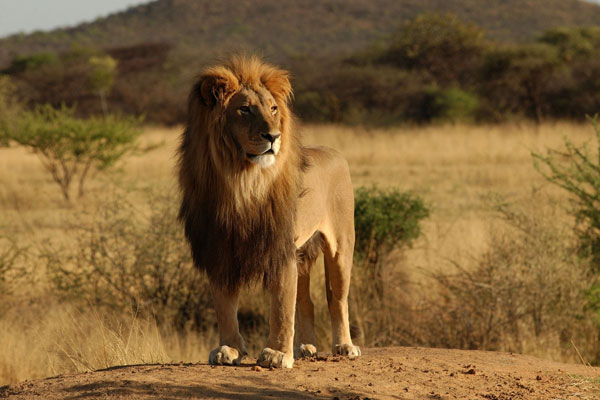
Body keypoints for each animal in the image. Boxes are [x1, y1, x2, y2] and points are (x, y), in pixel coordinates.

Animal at [176, 54, 358, 368]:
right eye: (245, 109)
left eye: (273, 109)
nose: (273, 136)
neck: (241, 182)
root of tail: (334, 152)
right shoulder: (219, 248)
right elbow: (225, 306)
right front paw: (229, 349)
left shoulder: (279, 247)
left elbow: (282, 305)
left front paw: (276, 353)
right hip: (303, 253)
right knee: (306, 301)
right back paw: (306, 347)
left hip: (341, 247)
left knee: (337, 299)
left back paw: (344, 346)